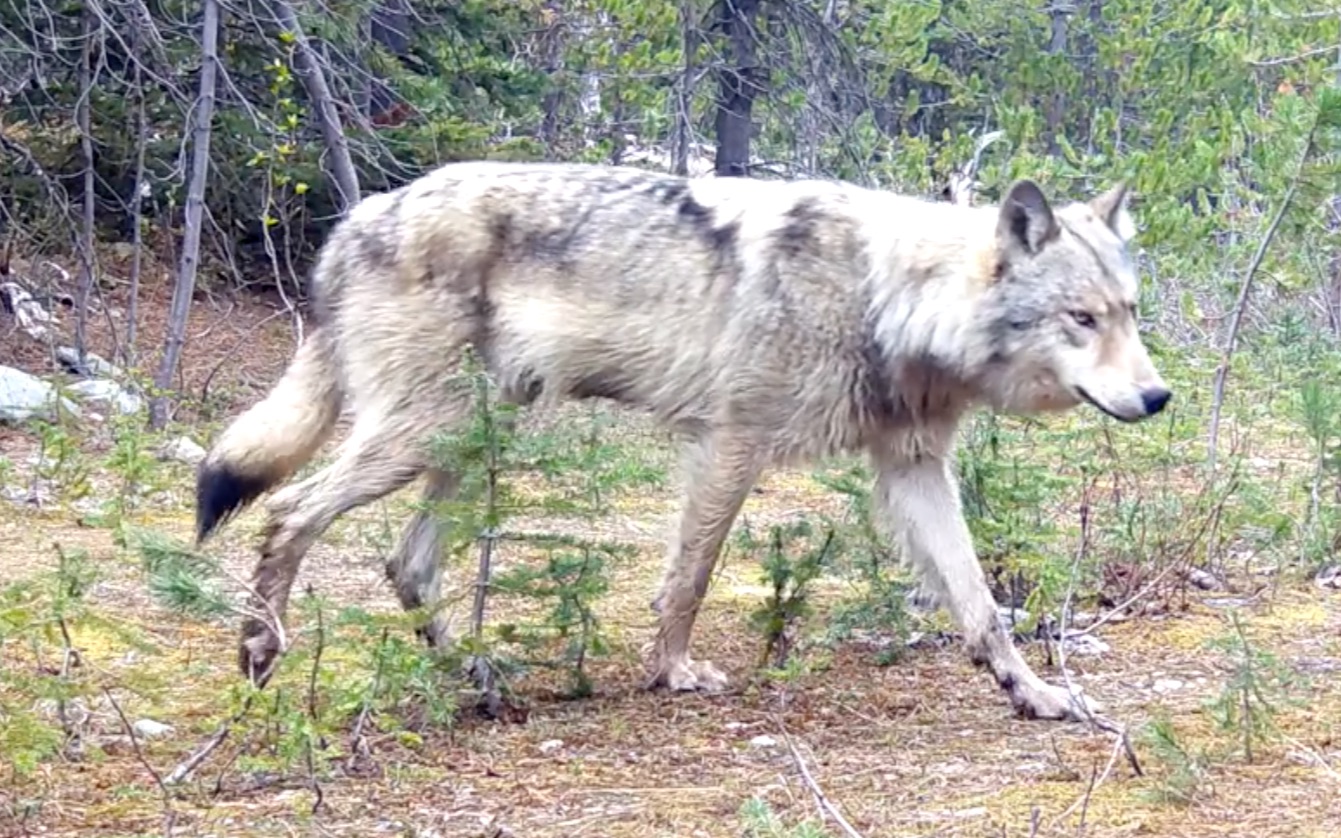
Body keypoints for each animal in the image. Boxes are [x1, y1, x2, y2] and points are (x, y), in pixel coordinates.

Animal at [194, 161, 1169, 718]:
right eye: (1080, 319)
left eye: (1128, 313)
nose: (1158, 396)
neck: (884, 297)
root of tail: (355, 218)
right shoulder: (731, 442)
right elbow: (689, 579)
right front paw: (670, 674)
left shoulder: (912, 469)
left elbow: (980, 607)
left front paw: (1031, 692)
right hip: (423, 435)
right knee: (289, 511)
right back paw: (259, 653)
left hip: (475, 438)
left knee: (407, 563)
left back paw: (480, 681)